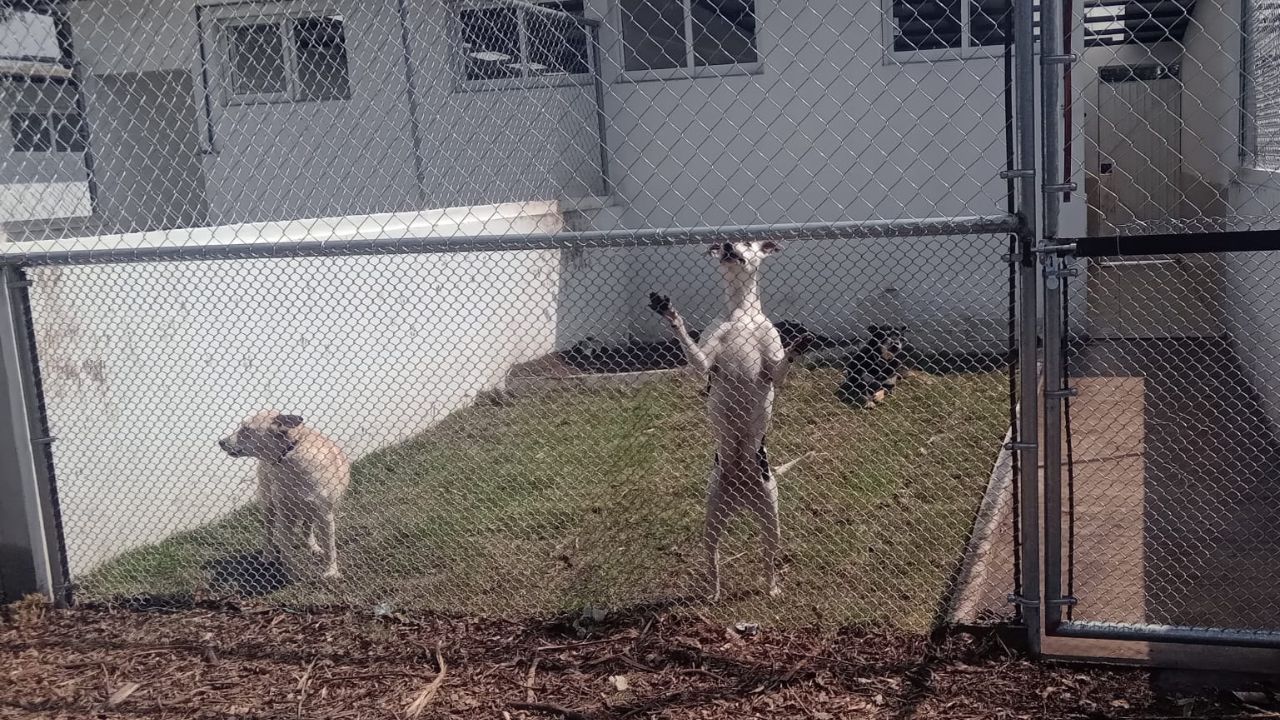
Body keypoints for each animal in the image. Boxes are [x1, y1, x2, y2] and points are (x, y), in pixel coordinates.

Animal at [220, 409, 350, 576]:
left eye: (246, 429)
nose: (221, 442)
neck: (290, 454)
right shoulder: (284, 515)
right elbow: (285, 549)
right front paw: (291, 573)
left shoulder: (324, 515)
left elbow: (330, 546)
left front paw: (331, 571)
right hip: (268, 507)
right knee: (268, 533)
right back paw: (268, 555)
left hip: (309, 512)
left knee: (306, 529)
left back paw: (314, 548)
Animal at [650, 238, 808, 597]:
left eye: (748, 242)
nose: (726, 245)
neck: (740, 316)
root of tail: (740, 493)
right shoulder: (704, 362)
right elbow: (695, 355)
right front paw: (671, 315)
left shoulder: (774, 371)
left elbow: (782, 366)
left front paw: (799, 344)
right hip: (712, 521)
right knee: (714, 559)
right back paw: (715, 591)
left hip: (771, 518)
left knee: (769, 557)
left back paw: (772, 588)